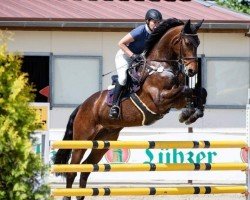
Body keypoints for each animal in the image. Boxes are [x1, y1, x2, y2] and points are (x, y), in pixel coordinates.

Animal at [53, 18, 207, 200]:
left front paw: (191, 114)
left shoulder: (174, 102)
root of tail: (82, 106)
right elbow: (185, 89)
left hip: (104, 141)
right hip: (82, 140)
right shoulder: (160, 100)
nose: (192, 71)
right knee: (72, 171)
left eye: (198, 43)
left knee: (85, 170)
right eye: (188, 43)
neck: (160, 66)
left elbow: (198, 92)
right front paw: (188, 113)